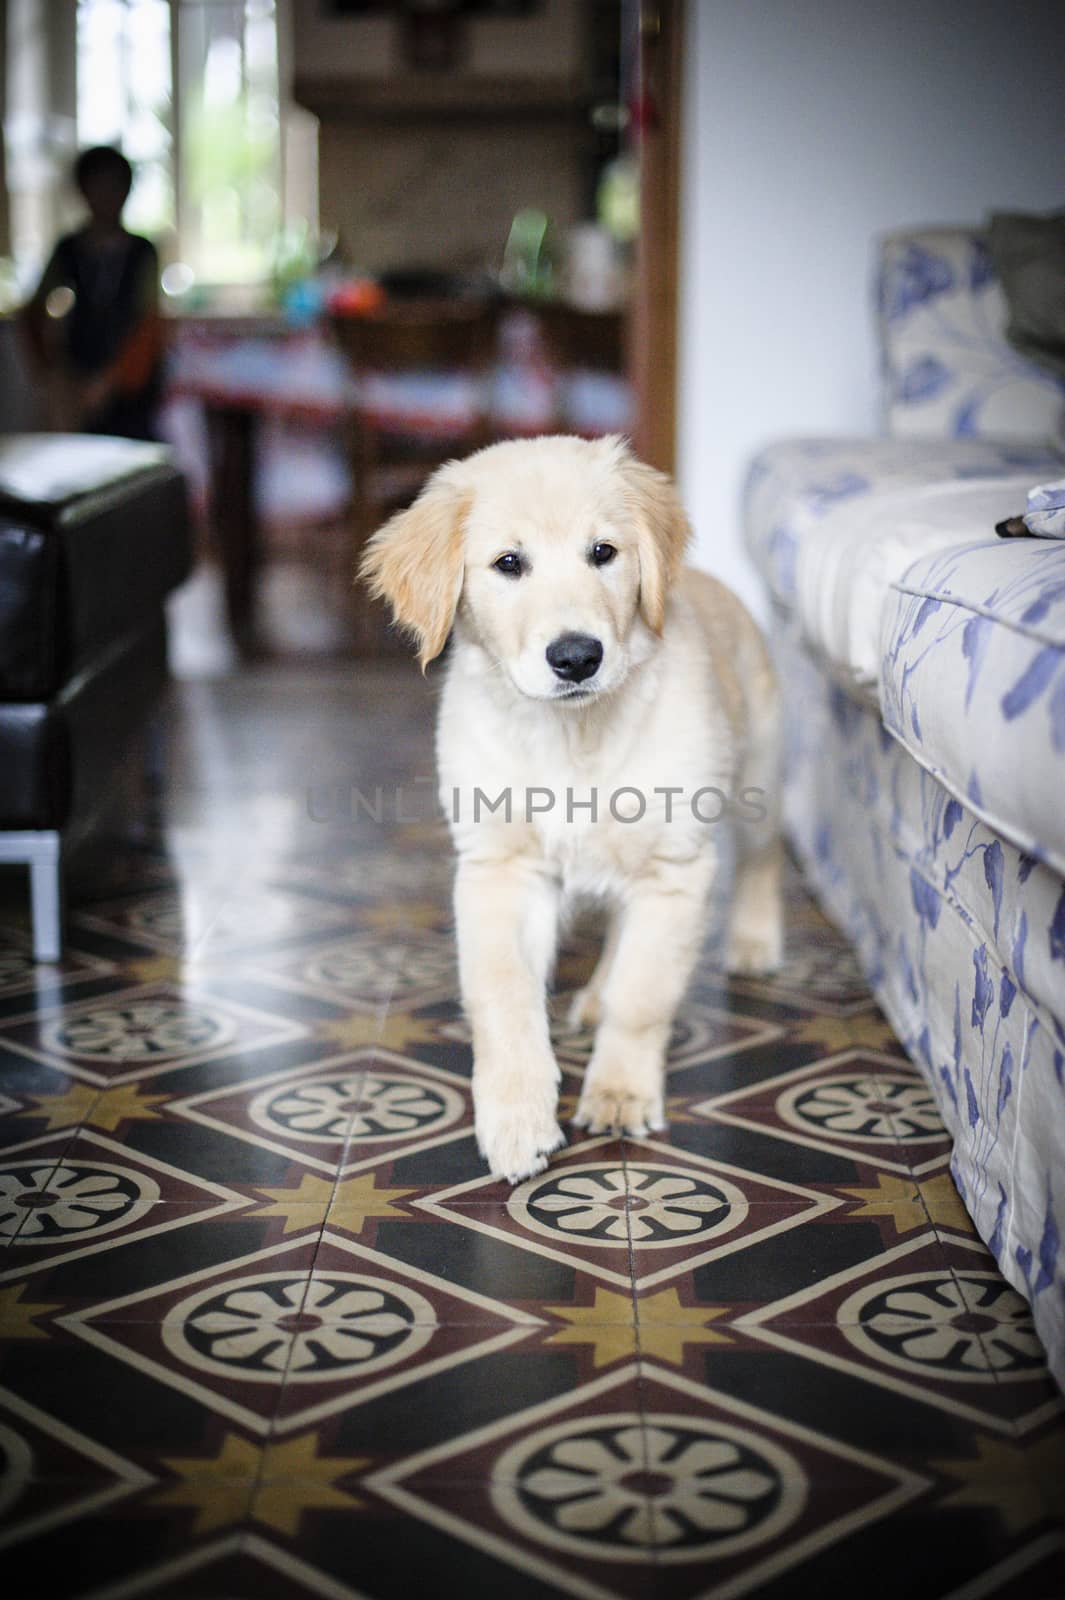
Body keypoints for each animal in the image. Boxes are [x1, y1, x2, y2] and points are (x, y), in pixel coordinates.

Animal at [362, 438, 780, 1190]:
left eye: (603, 553)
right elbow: (503, 997)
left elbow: (643, 998)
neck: (573, 738)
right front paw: (516, 1118)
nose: (578, 656)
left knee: (766, 856)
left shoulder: (675, 868)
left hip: (759, 766)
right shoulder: (499, 870)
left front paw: (620, 1092)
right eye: (509, 563)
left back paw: (754, 941)